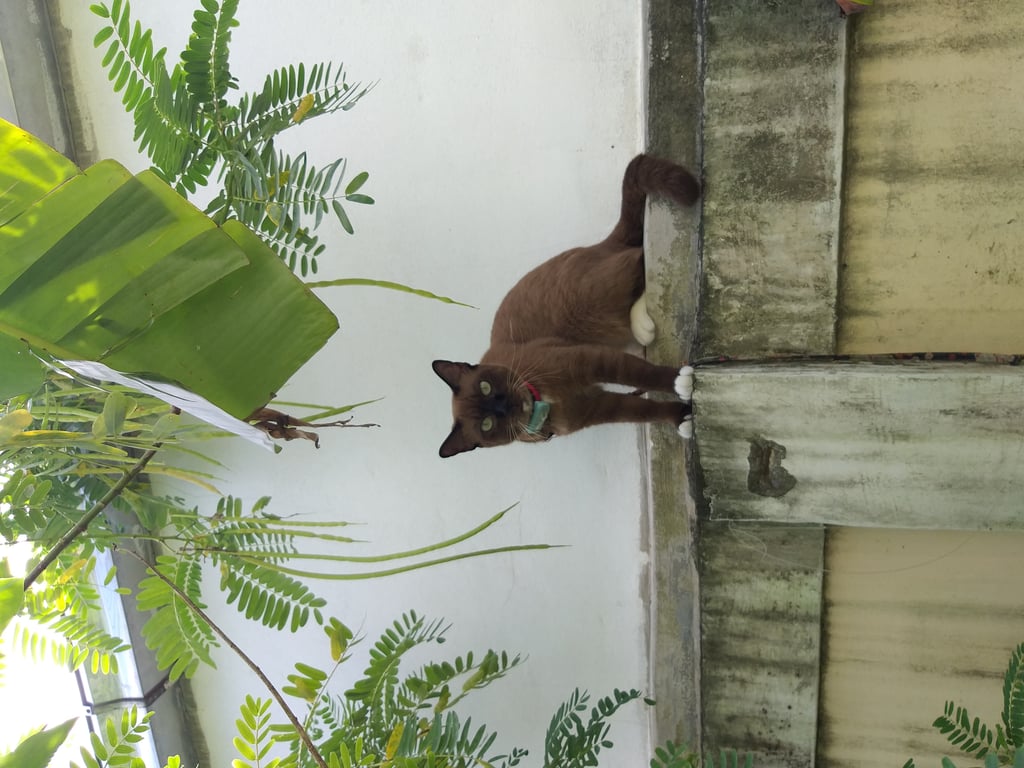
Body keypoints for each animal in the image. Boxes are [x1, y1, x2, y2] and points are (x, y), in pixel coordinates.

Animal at [432, 154, 700, 458]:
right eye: (487, 425)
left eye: (485, 386)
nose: (501, 404)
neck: (541, 401)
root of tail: (597, 246)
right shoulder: (599, 407)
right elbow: (645, 411)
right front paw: (682, 417)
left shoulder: (593, 362)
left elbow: (647, 375)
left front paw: (682, 382)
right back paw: (643, 328)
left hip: (592, 303)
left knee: (638, 258)